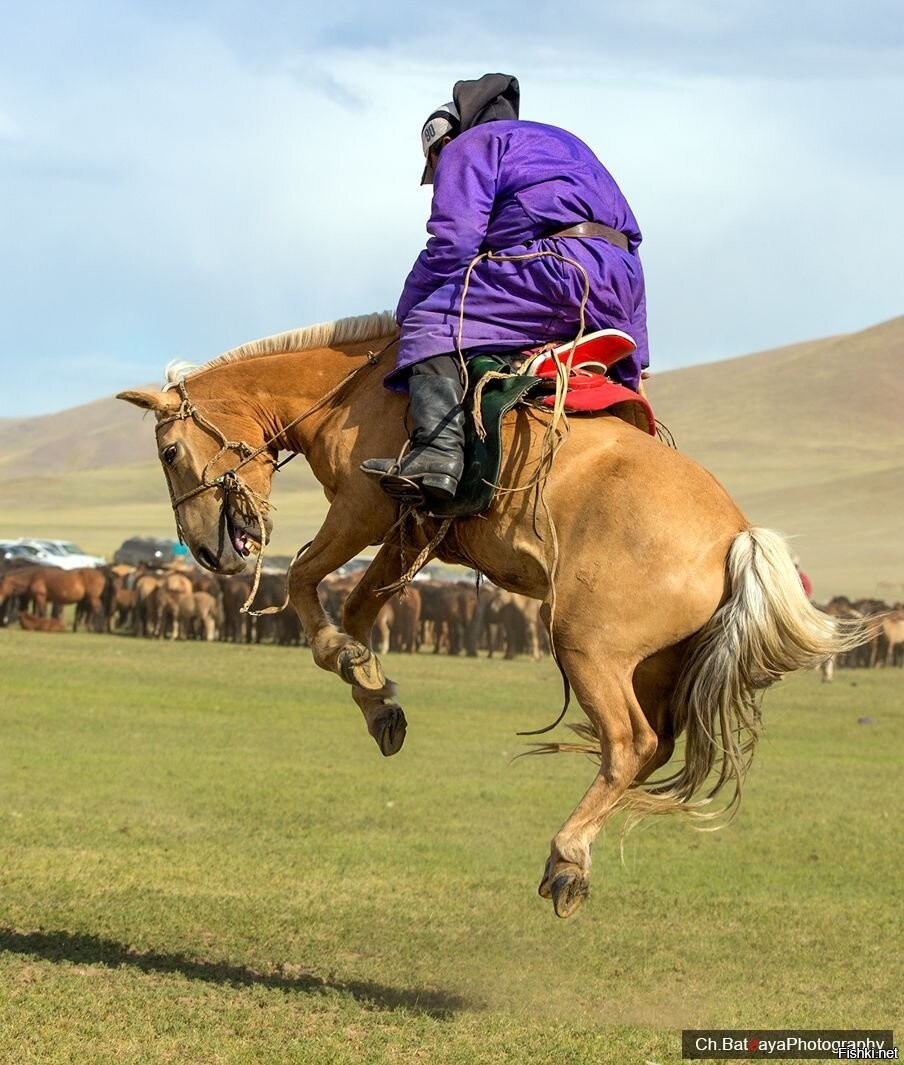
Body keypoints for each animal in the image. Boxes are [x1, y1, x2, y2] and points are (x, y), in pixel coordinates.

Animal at [116, 310, 864, 920]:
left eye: (169, 451)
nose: (205, 550)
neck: (357, 392)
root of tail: (737, 534)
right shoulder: (410, 532)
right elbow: (359, 607)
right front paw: (378, 700)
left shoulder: (366, 510)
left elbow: (307, 583)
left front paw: (352, 664)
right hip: (653, 664)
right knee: (650, 746)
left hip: (585, 644)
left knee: (629, 742)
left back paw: (567, 860)